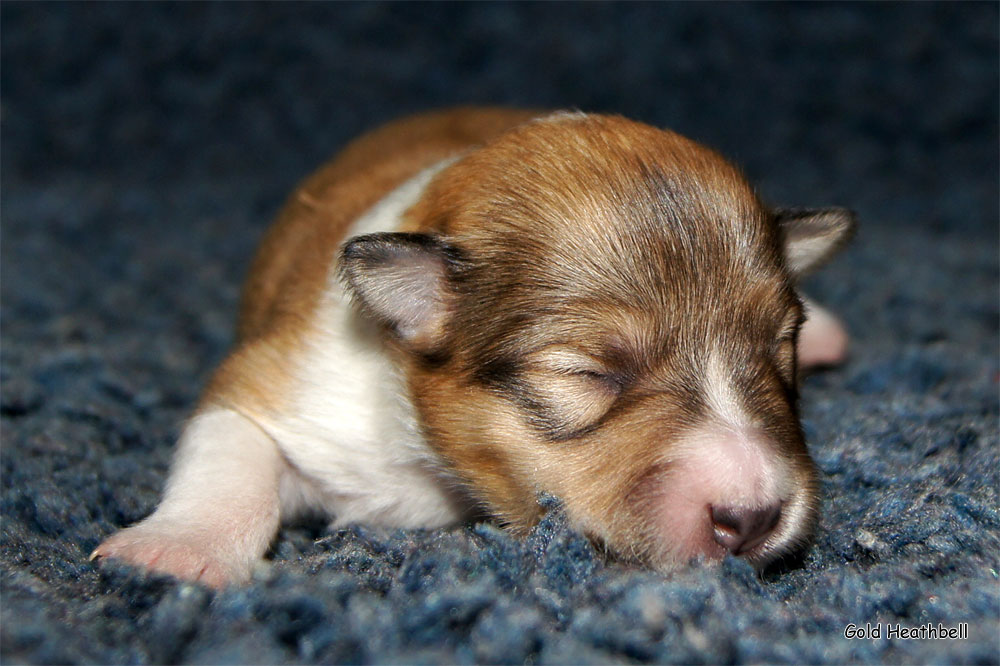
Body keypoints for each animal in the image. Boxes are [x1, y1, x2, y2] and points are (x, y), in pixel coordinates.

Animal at [94, 106, 856, 584]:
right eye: (586, 373)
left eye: (778, 349)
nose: (752, 519)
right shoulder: (282, 382)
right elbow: (228, 456)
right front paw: (175, 551)